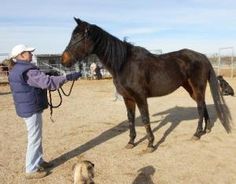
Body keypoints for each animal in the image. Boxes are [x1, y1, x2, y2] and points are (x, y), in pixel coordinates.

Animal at [60, 17, 232, 152]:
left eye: (77, 37)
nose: (63, 60)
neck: (124, 63)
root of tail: (202, 56)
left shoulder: (140, 97)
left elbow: (144, 119)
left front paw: (150, 144)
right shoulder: (128, 98)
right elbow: (130, 119)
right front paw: (131, 142)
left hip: (197, 86)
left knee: (200, 107)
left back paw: (196, 133)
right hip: (191, 88)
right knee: (202, 104)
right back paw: (206, 129)